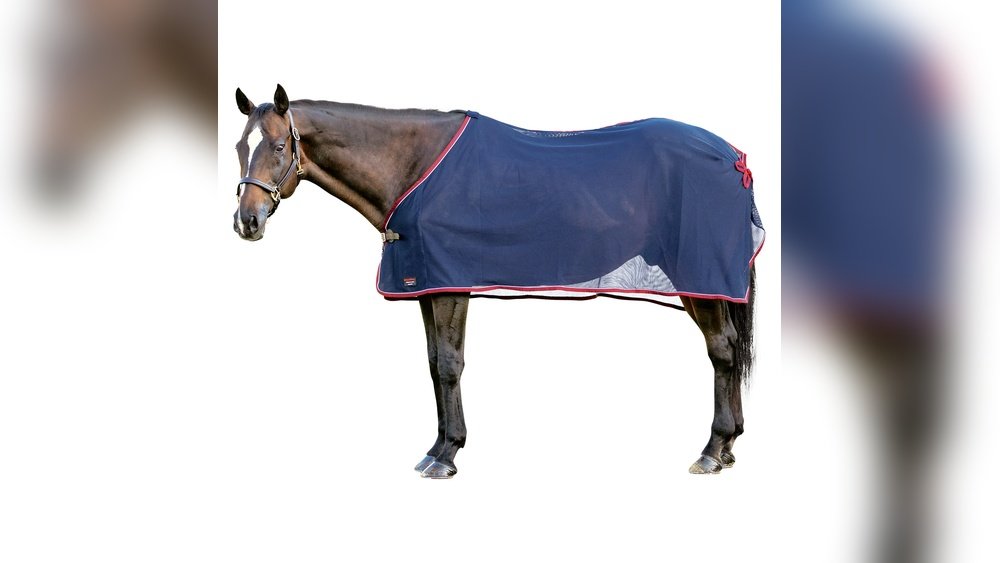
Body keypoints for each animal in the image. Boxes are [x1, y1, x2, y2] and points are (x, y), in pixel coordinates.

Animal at [231, 84, 760, 479]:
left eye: (278, 146)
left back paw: (712, 449)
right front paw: (437, 447)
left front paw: (447, 455)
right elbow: (432, 364)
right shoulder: (424, 284)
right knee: (730, 347)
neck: (414, 167)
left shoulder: (449, 286)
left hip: (700, 277)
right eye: (239, 147)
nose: (247, 222)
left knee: (721, 349)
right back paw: (729, 446)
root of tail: (734, 157)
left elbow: (449, 364)